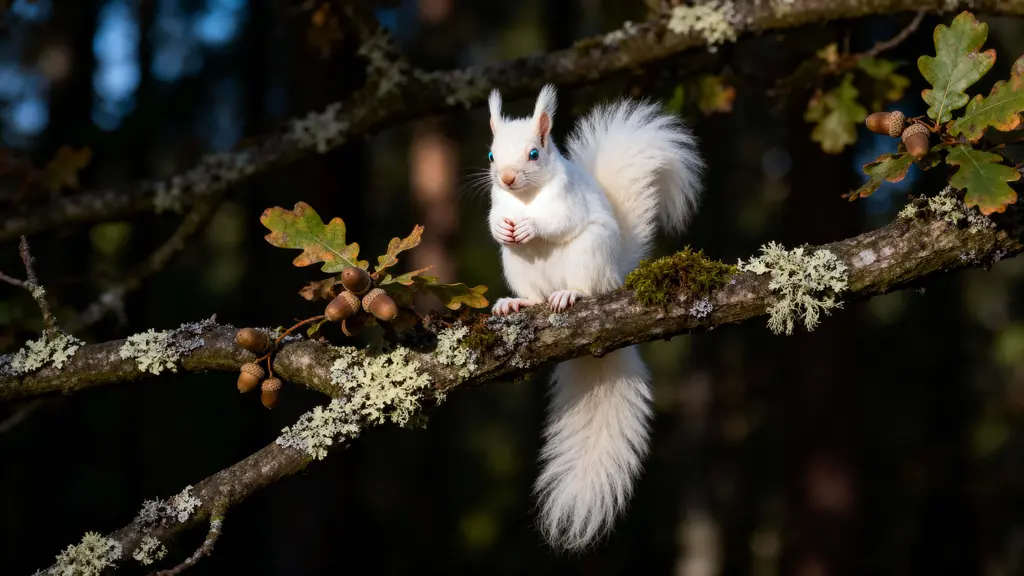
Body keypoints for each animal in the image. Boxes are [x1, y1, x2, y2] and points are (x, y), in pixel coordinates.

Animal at [484, 84, 704, 551]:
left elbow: (556, 220)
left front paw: (530, 227)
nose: (507, 179)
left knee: (583, 285)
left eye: (534, 154)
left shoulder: (568, 202)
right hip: (517, 268)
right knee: (532, 293)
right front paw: (504, 228)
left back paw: (569, 293)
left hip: (590, 255)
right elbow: (494, 219)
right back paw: (518, 303)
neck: (524, 199)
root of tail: (613, 279)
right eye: (492, 155)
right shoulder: (497, 204)